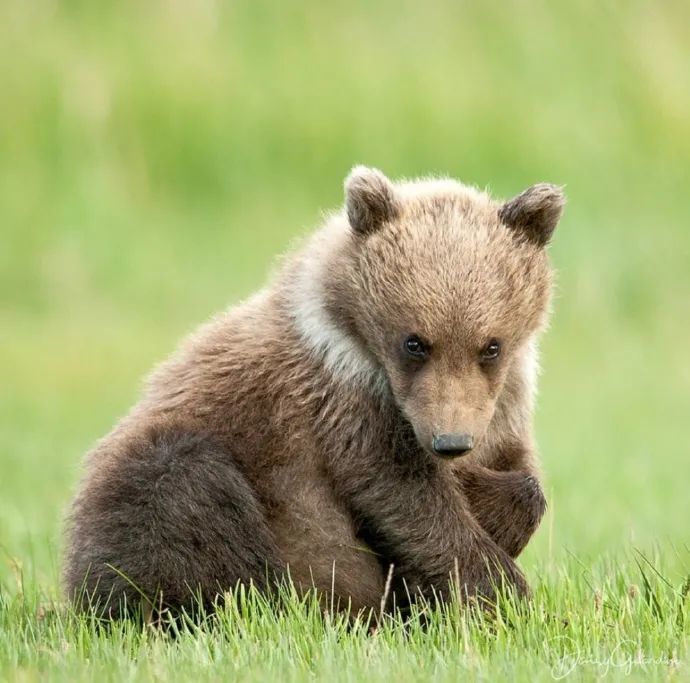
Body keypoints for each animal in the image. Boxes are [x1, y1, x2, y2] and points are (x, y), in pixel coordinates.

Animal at [63, 167, 564, 619]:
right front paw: (502, 592)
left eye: (491, 346)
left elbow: (520, 478)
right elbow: (403, 492)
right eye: (415, 342)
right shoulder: (342, 397)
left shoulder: (505, 403)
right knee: (182, 495)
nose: (451, 441)